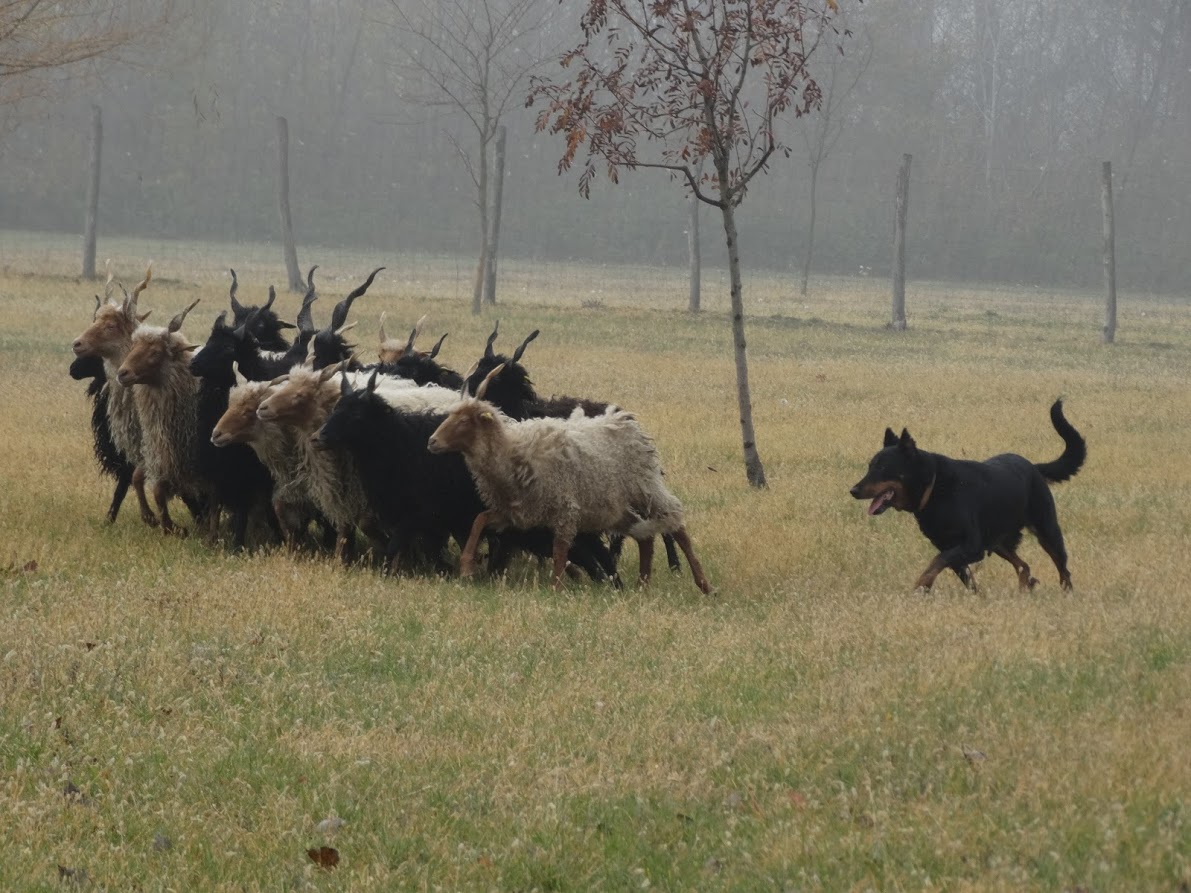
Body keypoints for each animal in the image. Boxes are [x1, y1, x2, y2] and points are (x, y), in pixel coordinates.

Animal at [847, 402, 1090, 590]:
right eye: (870, 467)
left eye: (882, 468)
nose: (853, 491)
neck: (934, 488)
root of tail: (1034, 467)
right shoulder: (951, 547)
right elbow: (961, 576)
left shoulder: (971, 546)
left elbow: (936, 563)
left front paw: (920, 586)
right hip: (998, 540)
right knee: (1024, 565)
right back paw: (1026, 587)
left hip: (1047, 531)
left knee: (1063, 569)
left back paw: (1066, 593)